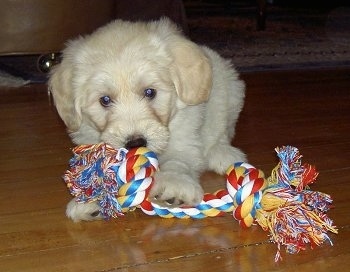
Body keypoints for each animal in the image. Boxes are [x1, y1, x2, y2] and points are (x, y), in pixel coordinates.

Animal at [48, 18, 246, 221]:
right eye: (105, 100)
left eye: (150, 92)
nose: (135, 144)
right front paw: (93, 198)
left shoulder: (186, 137)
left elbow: (178, 158)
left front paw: (174, 183)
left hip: (231, 91)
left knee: (222, 131)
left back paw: (222, 153)